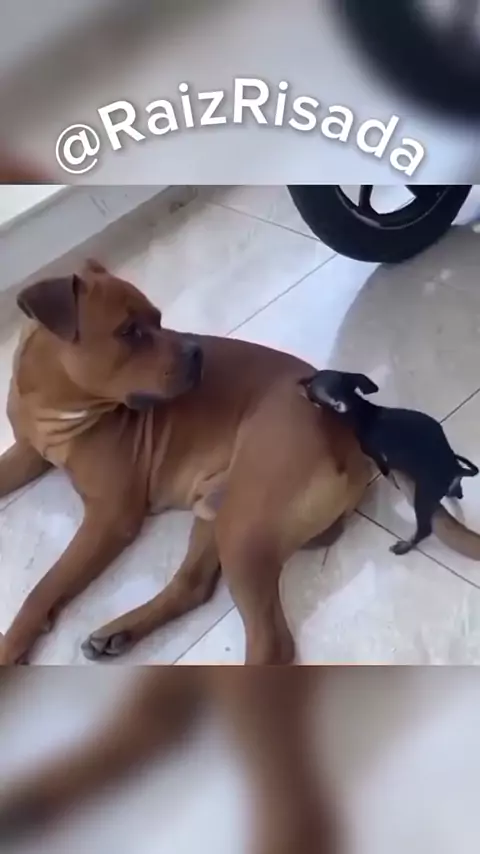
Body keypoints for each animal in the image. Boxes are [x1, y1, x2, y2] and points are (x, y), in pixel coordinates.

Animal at [299, 369, 479, 556]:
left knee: (424, 529)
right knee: (455, 488)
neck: (363, 412)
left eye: (312, 389)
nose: (303, 382)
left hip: (423, 495)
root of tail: (454, 468)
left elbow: (386, 472)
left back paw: (405, 546)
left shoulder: (376, 455)